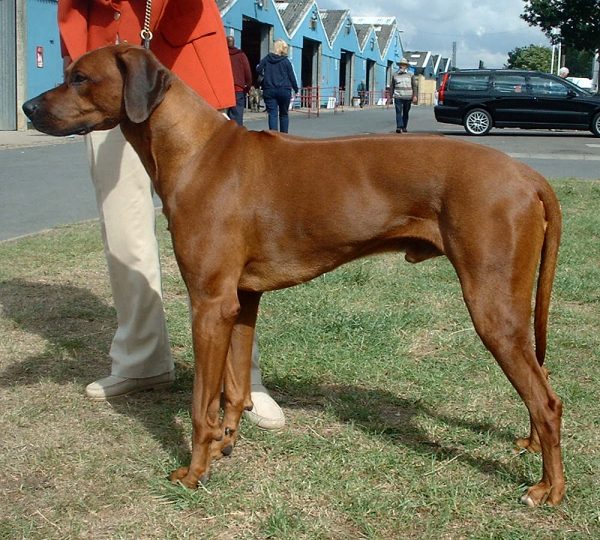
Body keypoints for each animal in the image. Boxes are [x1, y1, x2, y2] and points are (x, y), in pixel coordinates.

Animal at [22, 45, 564, 506]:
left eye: (80, 77)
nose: (26, 108)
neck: (196, 150)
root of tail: (528, 174)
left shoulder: (209, 303)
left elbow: (202, 404)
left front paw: (194, 473)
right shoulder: (240, 301)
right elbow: (234, 390)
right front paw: (224, 446)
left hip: (492, 307)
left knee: (547, 401)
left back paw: (549, 490)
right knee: (541, 381)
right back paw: (532, 448)